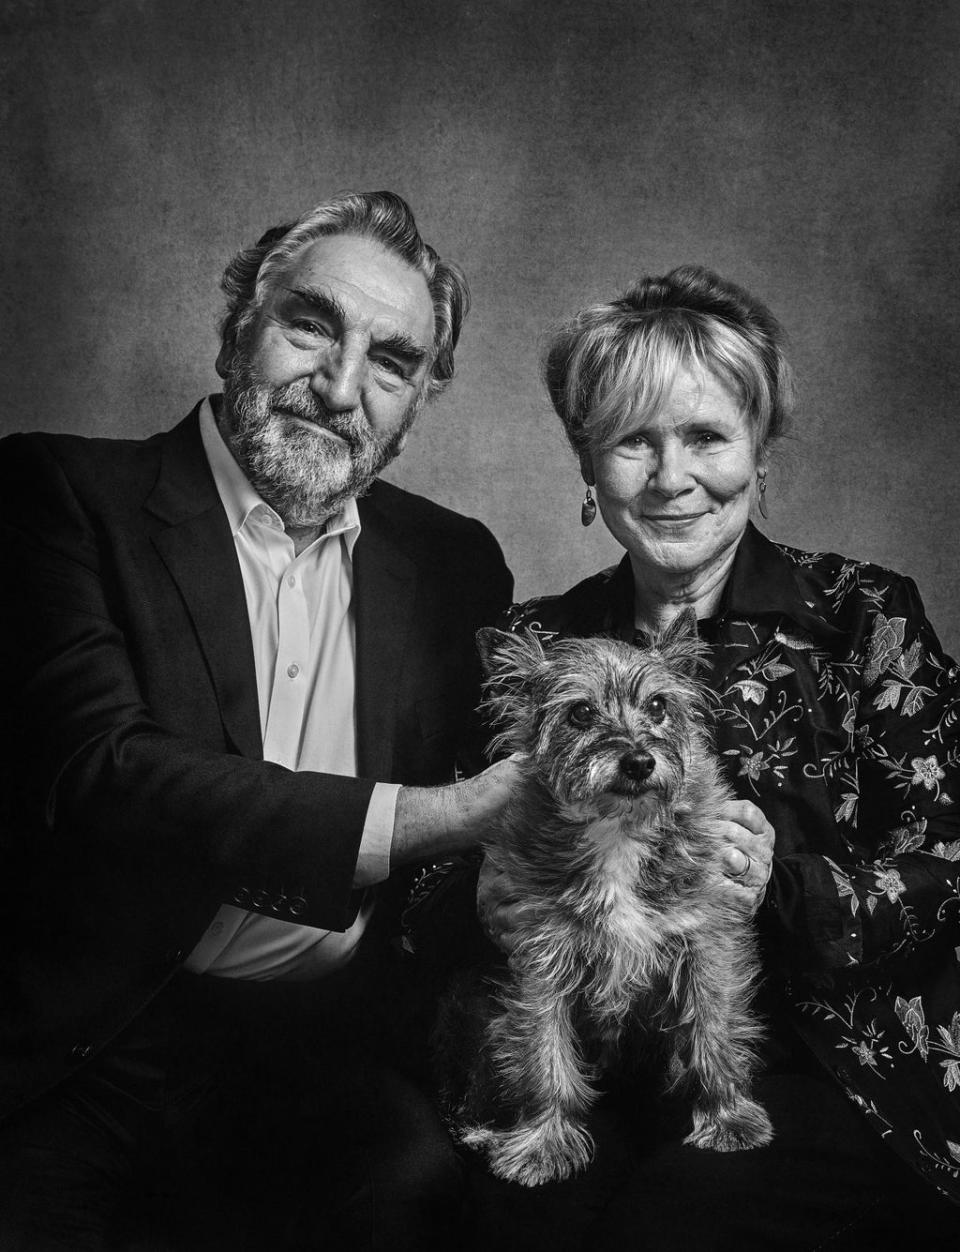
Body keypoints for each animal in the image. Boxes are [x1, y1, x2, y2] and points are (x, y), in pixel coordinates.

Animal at [440, 615, 776, 1181]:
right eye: (580, 712)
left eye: (659, 705)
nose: (639, 761)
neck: (619, 829)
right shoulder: (544, 961)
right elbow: (543, 1056)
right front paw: (543, 1142)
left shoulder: (705, 946)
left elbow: (714, 1031)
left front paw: (727, 1116)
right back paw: (485, 1127)